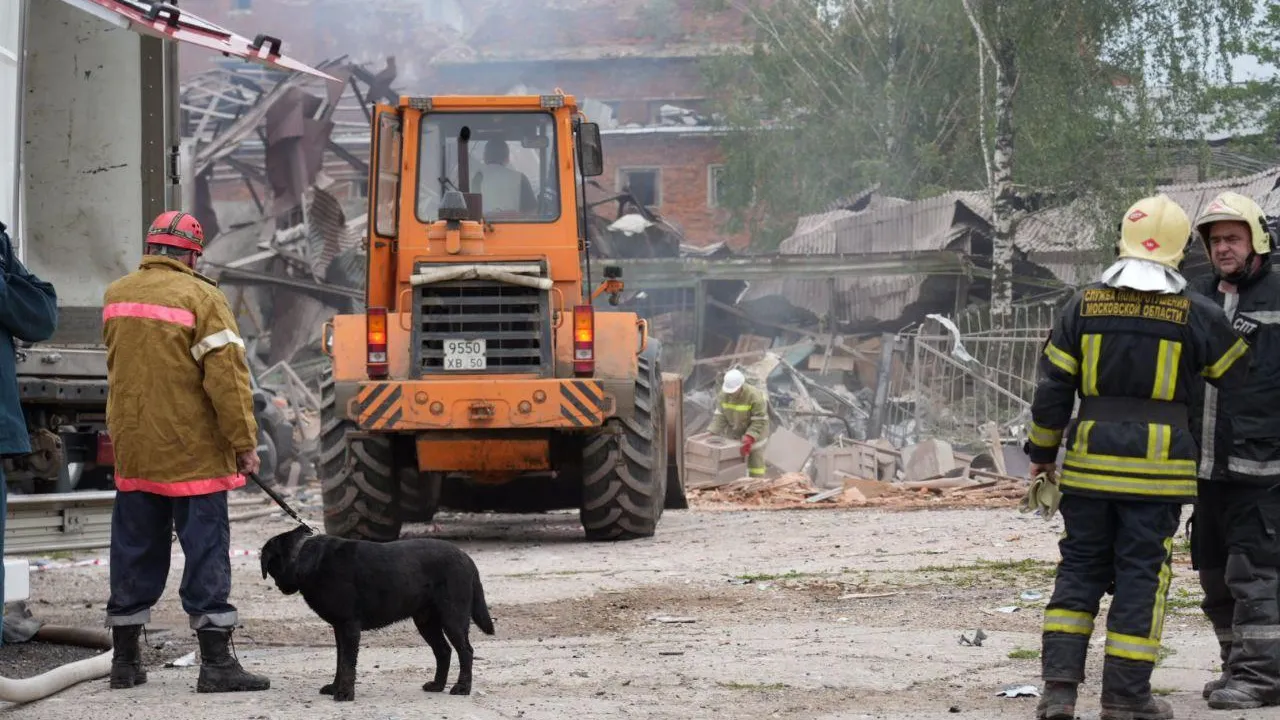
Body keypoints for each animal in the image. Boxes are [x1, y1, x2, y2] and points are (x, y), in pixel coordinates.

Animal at [259, 520, 494, 702]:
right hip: (425, 621)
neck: (301, 555)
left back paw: (462, 688)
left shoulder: (349, 626)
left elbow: (347, 663)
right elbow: (339, 661)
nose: (280, 587)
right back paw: (437, 685)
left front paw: (344, 693)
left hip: (453, 617)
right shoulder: (339, 628)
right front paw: (335, 687)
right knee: (443, 651)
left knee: (466, 651)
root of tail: (466, 557)